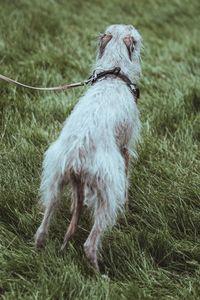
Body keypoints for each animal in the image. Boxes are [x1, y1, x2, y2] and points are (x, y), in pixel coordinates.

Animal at [35, 24, 143, 270]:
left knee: (42, 230)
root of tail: (76, 154)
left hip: (54, 184)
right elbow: (127, 177)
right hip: (108, 191)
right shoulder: (125, 148)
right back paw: (99, 272)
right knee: (90, 244)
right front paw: (127, 205)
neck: (113, 76)